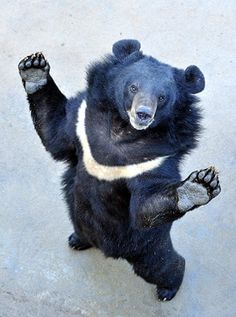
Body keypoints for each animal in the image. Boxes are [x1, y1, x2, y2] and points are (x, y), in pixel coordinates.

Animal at [18, 39, 221, 298]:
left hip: (148, 245)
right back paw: (77, 240)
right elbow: (55, 132)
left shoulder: (156, 157)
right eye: (133, 87)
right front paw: (34, 68)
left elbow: (145, 204)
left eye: (162, 97)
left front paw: (199, 185)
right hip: (78, 218)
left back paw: (168, 289)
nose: (143, 114)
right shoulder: (81, 120)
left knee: (162, 265)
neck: (123, 130)